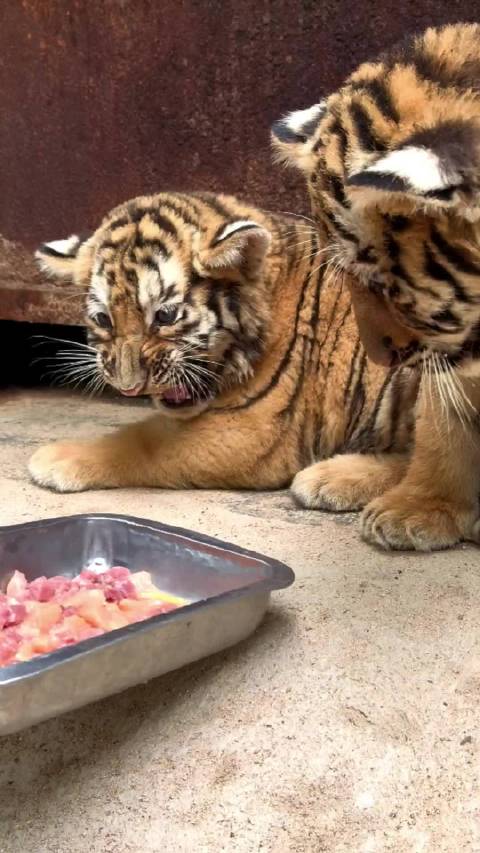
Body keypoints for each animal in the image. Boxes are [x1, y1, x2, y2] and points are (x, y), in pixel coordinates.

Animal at [29, 191, 417, 508]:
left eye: (165, 315)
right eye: (103, 319)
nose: (129, 388)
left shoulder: (251, 431)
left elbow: (142, 440)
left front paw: (56, 457)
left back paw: (329, 479)